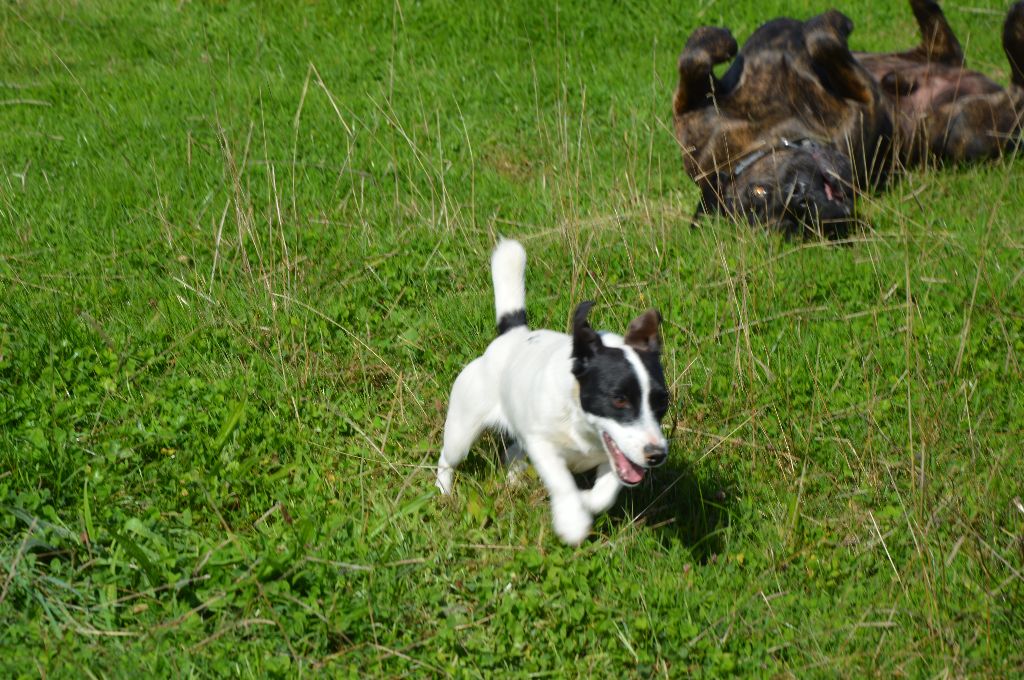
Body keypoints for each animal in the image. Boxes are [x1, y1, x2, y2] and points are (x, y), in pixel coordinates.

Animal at [434, 240, 667, 548]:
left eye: (662, 401)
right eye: (618, 399)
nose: (657, 455)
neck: (582, 427)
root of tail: (512, 335)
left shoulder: (615, 458)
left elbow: (606, 492)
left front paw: (586, 502)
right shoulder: (543, 445)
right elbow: (561, 481)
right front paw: (572, 519)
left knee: (512, 453)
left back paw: (514, 482)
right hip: (462, 430)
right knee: (447, 459)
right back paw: (443, 490)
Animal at [671, 0, 1024, 237]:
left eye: (758, 192)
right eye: (790, 228)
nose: (799, 200)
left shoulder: (696, 126)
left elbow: (692, 59)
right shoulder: (866, 106)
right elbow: (822, 41)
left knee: (940, 35)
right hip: (963, 131)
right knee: (1015, 90)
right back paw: (1014, 30)